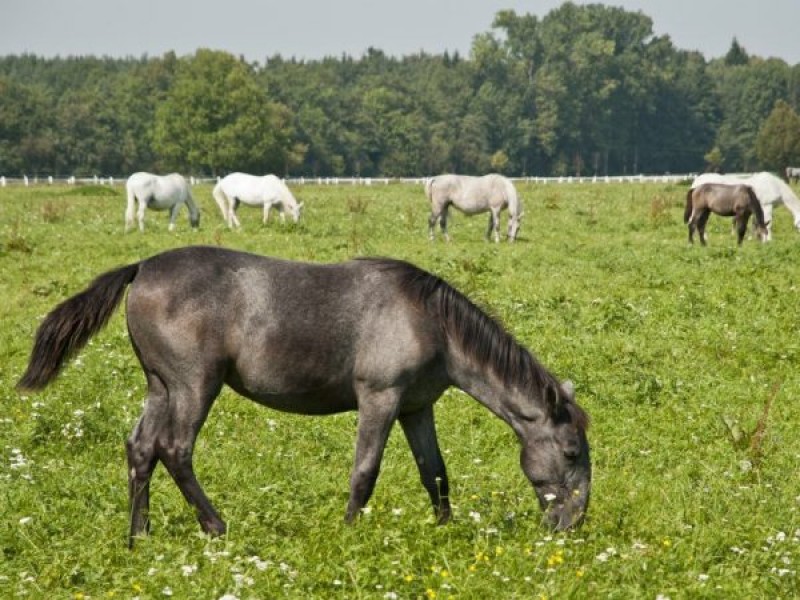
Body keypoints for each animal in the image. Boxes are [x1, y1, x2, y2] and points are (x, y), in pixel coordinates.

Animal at [17, 245, 588, 548]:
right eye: (571, 452)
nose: (571, 523)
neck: (431, 323)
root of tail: (141, 268)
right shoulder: (380, 399)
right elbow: (365, 472)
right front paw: (350, 532)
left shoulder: (416, 407)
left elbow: (436, 472)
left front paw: (443, 530)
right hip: (193, 386)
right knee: (174, 450)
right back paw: (215, 525)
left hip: (160, 387)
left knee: (141, 451)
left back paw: (140, 535)